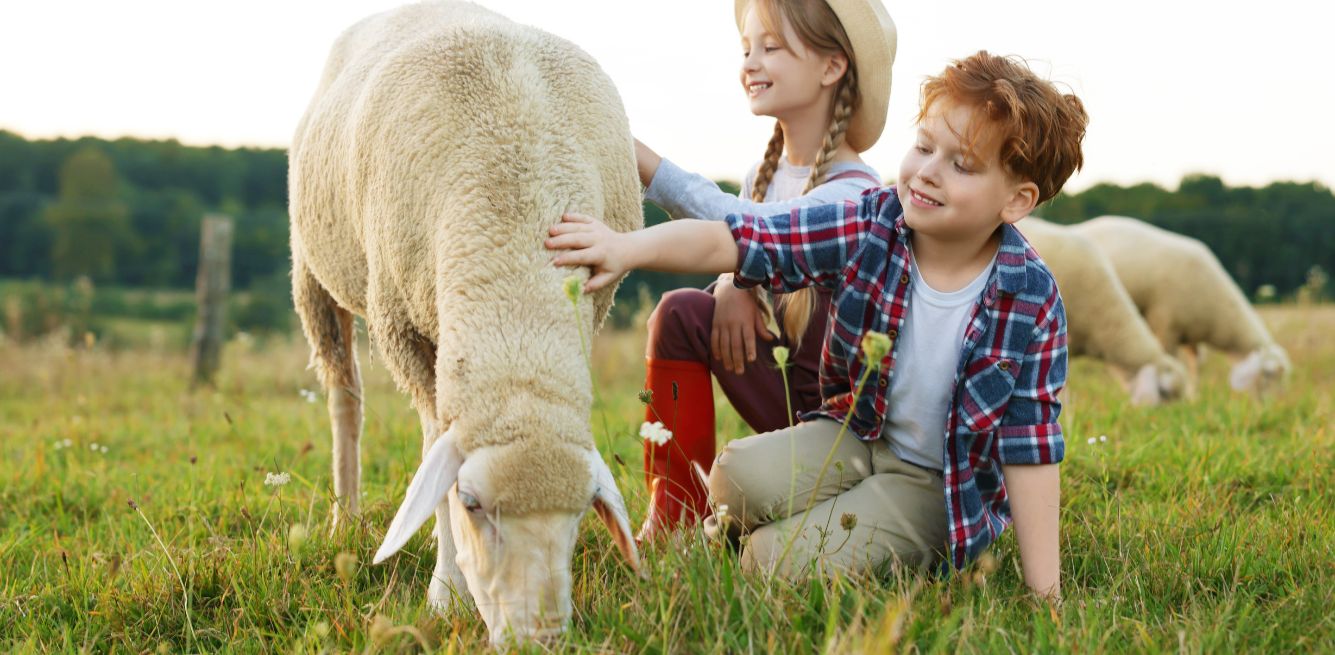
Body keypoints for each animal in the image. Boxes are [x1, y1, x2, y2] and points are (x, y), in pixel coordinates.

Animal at [289, 0, 643, 645]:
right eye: (472, 503)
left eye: (583, 510)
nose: (539, 640)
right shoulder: (402, 327)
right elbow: (434, 443)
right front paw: (445, 591)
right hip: (312, 271)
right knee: (343, 396)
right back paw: (344, 516)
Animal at [1068, 216, 1286, 394]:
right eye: (1268, 376)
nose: (1267, 407)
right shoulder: (1166, 323)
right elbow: (1170, 358)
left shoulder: (1192, 332)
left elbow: (1196, 365)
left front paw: (1193, 396)